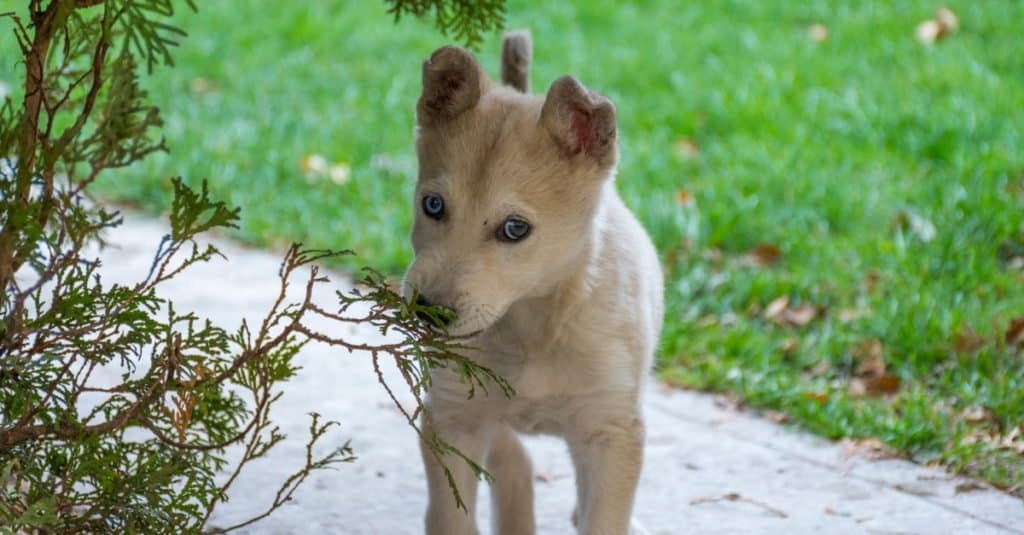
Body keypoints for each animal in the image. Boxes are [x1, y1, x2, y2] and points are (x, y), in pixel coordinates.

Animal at [399, 33, 663, 532]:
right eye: (433, 205)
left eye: (515, 229)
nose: (427, 310)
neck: (530, 327)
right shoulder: (453, 418)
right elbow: (452, 518)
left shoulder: (611, 431)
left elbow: (604, 519)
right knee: (514, 464)